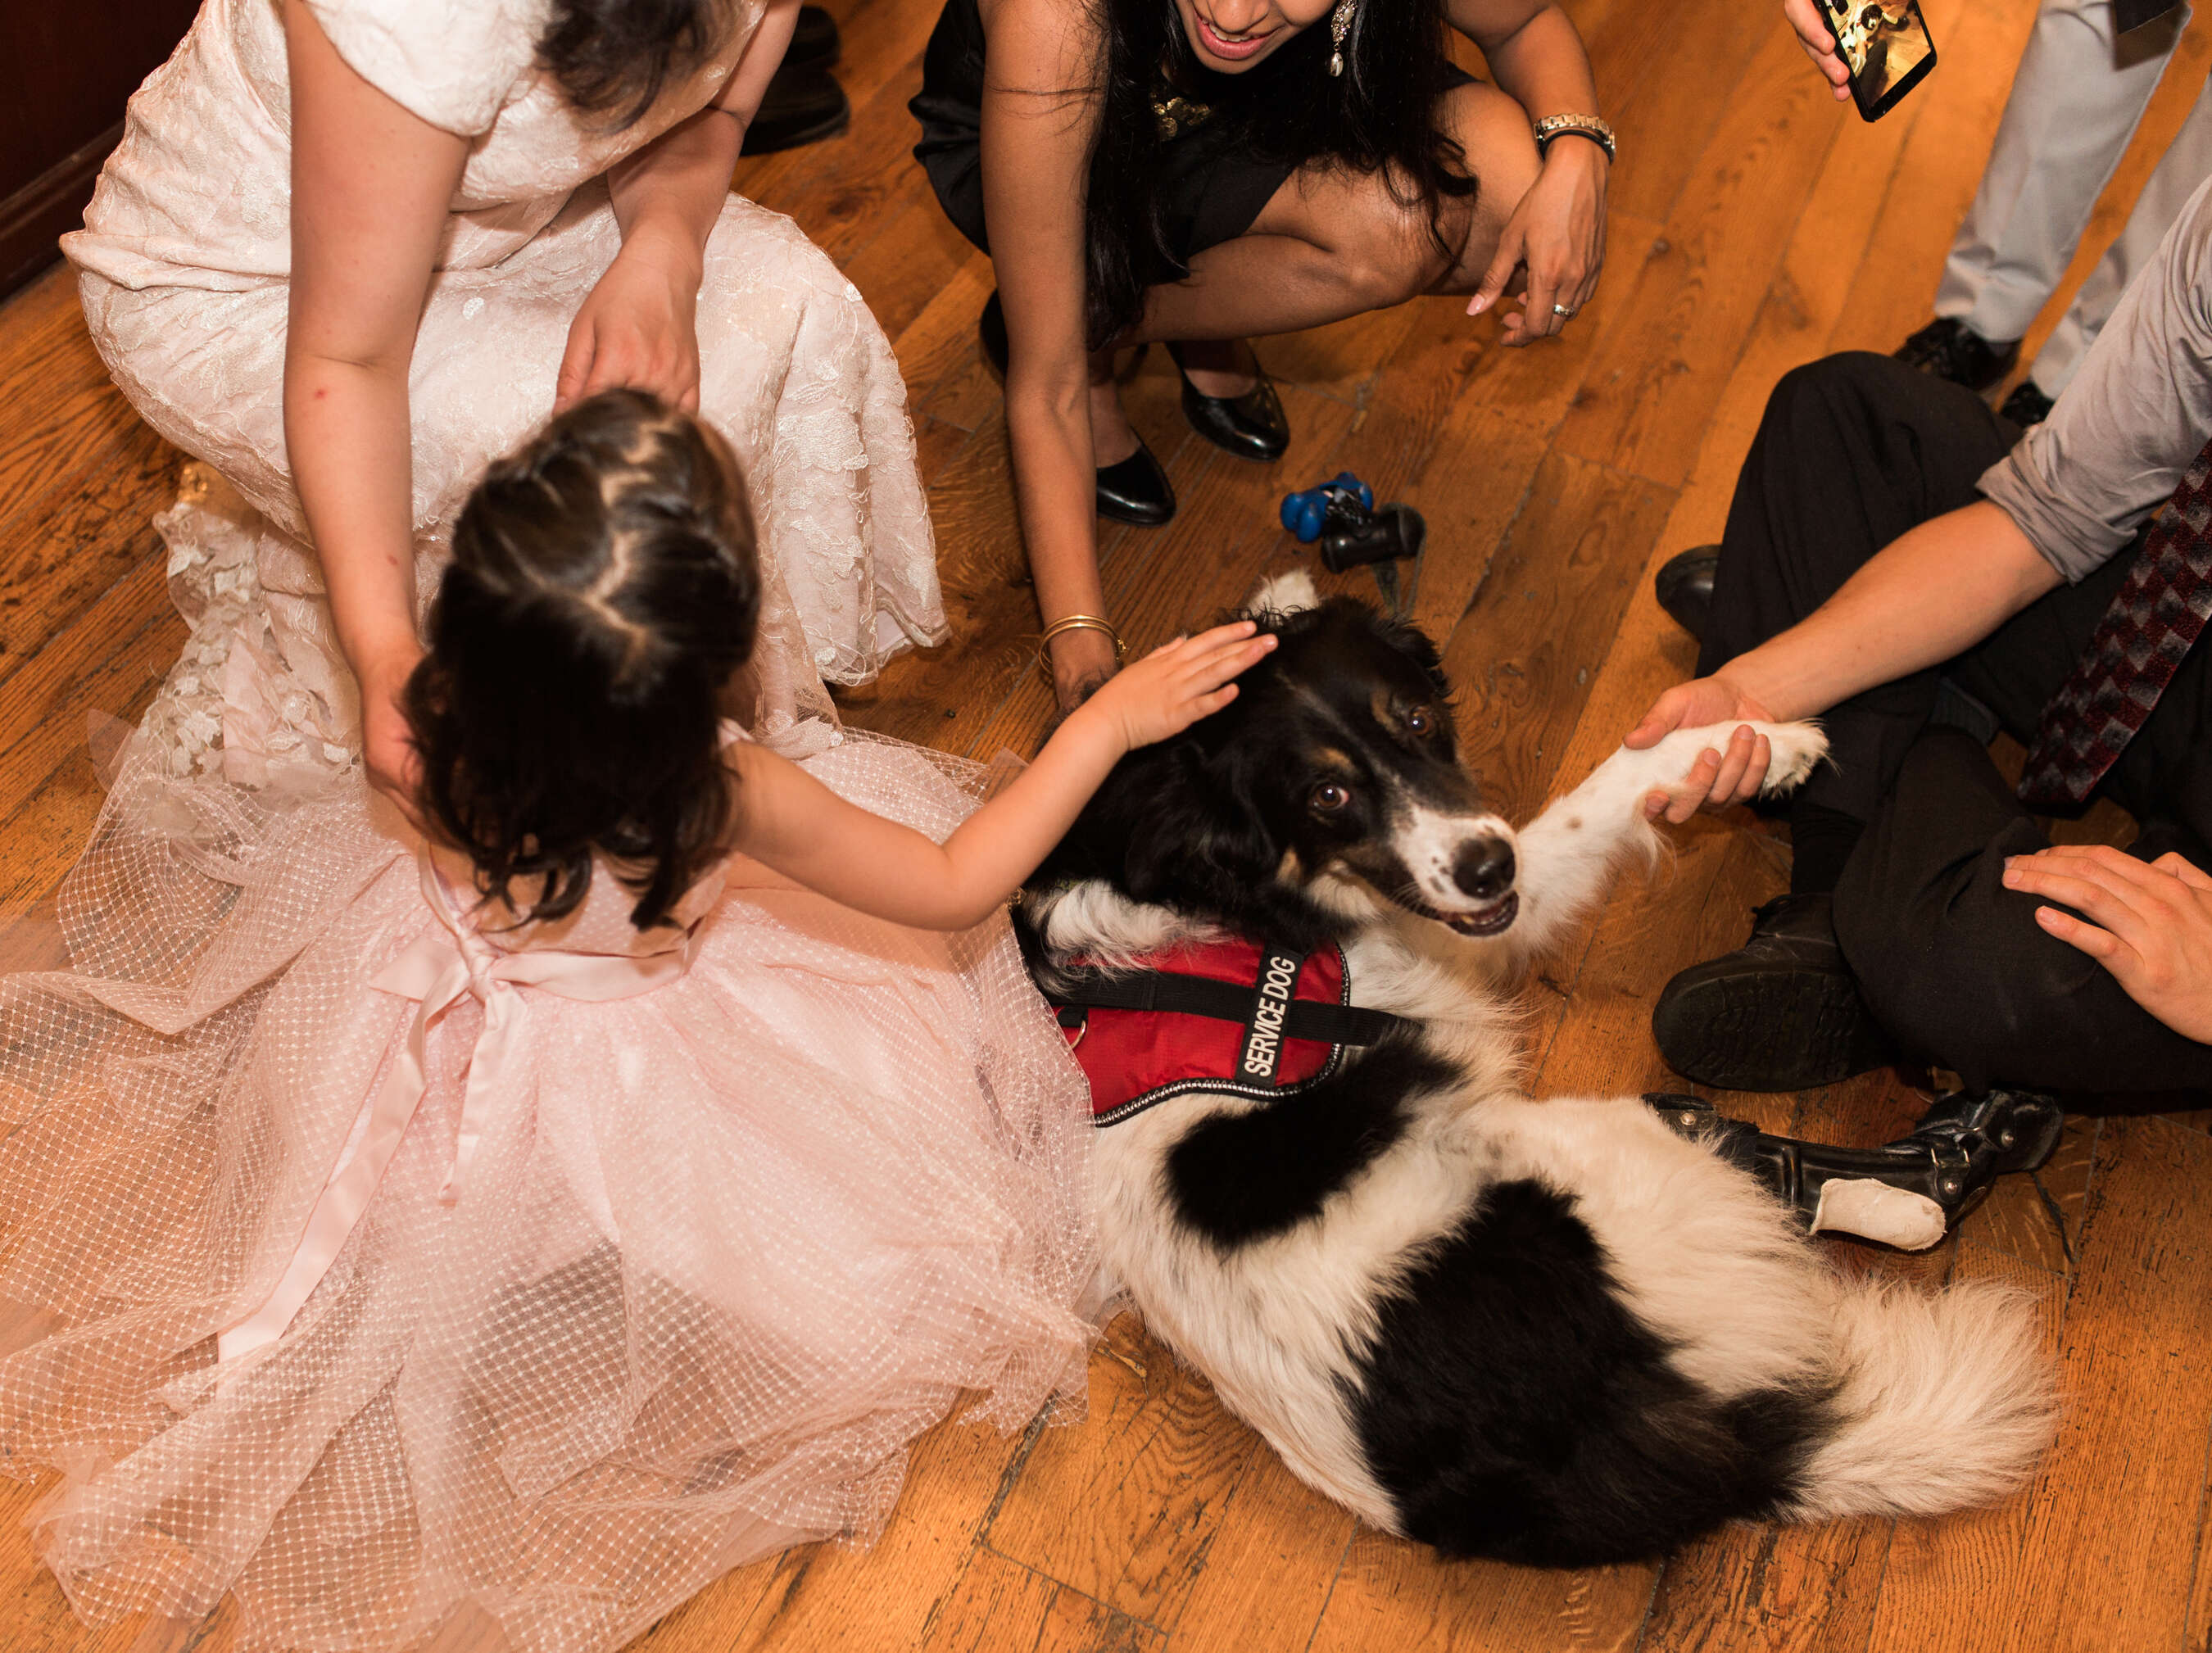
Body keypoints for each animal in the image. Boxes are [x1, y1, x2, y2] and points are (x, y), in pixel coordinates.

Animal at [1018, 579, 2052, 1566]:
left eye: (1419, 720)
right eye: (1326, 797)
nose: (1485, 867)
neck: (1219, 876)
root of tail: (1718, 1464)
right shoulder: (1453, 927)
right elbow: (1597, 791)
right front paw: (1754, 742)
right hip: (1594, 1141)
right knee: (1750, 1164)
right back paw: (1921, 1187)